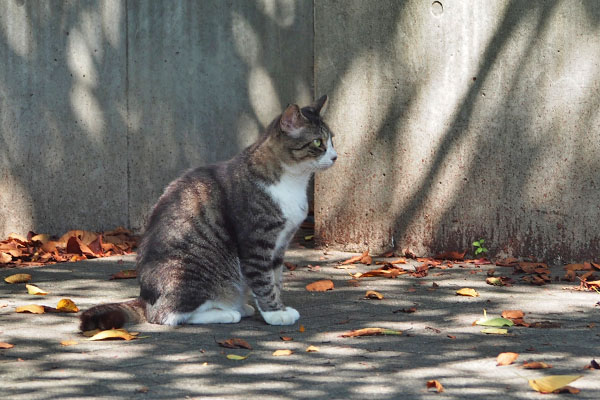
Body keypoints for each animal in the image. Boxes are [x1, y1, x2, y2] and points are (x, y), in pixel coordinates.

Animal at [78, 95, 338, 330]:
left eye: (332, 140)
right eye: (318, 142)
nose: (335, 156)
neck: (293, 180)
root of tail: (145, 299)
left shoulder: (280, 243)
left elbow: (275, 279)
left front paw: (279, 307)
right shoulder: (257, 241)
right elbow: (263, 280)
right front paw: (274, 314)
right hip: (189, 273)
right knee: (167, 316)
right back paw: (226, 313)